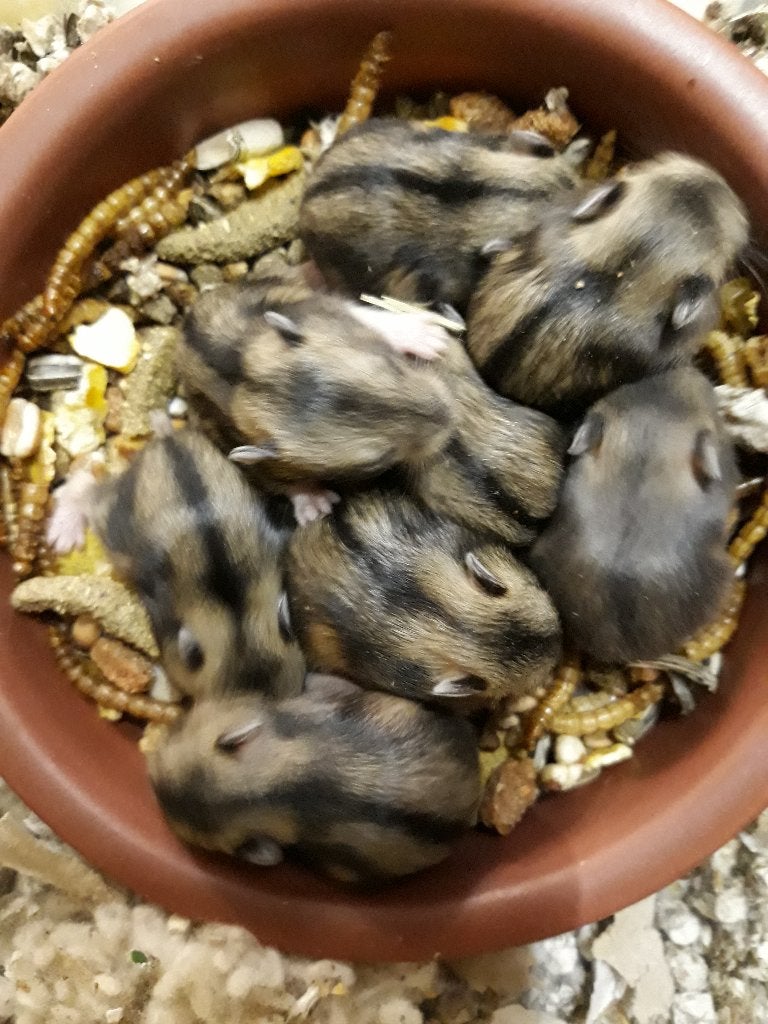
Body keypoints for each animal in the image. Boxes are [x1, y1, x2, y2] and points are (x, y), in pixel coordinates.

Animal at [178, 265, 456, 523]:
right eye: (378, 460)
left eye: (393, 364)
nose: (451, 417)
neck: (245, 382)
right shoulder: (246, 456)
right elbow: (282, 479)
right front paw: (317, 506)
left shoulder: (328, 307)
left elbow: (363, 313)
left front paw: (432, 337)